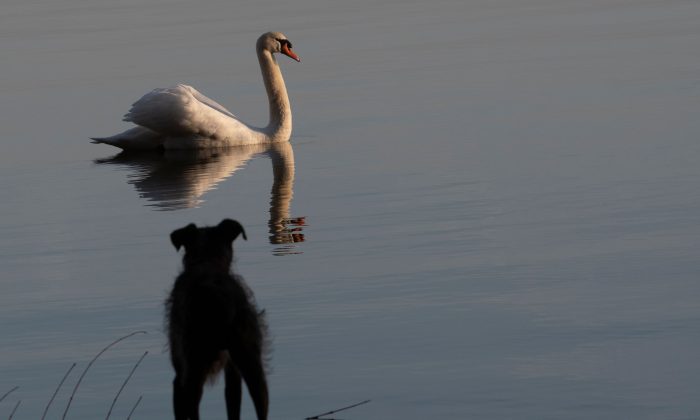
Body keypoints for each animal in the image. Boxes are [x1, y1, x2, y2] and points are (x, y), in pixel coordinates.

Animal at [165, 220, 270, 420]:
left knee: (192, 407)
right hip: (251, 361)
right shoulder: (233, 369)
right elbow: (233, 402)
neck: (207, 261)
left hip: (193, 365)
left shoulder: (179, 373)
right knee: (261, 402)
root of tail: (214, 296)